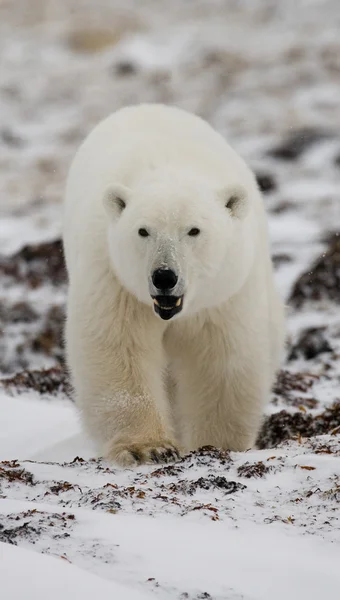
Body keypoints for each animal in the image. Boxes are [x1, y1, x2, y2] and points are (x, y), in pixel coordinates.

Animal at [62, 103, 286, 466]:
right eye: (143, 231)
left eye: (193, 230)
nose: (164, 276)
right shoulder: (116, 281)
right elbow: (119, 350)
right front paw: (147, 447)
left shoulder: (223, 295)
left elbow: (220, 362)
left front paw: (215, 443)